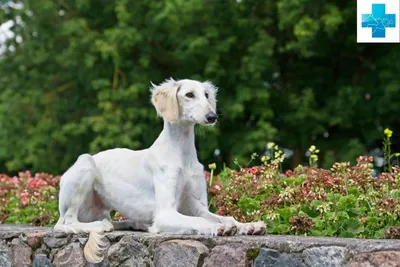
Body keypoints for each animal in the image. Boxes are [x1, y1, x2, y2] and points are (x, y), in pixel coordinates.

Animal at [53, 78, 266, 264]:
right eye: (189, 94)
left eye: (206, 95)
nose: (212, 116)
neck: (182, 154)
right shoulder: (166, 213)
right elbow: (200, 221)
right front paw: (220, 227)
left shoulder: (198, 207)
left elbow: (224, 216)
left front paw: (249, 225)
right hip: (85, 164)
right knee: (68, 223)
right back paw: (101, 226)